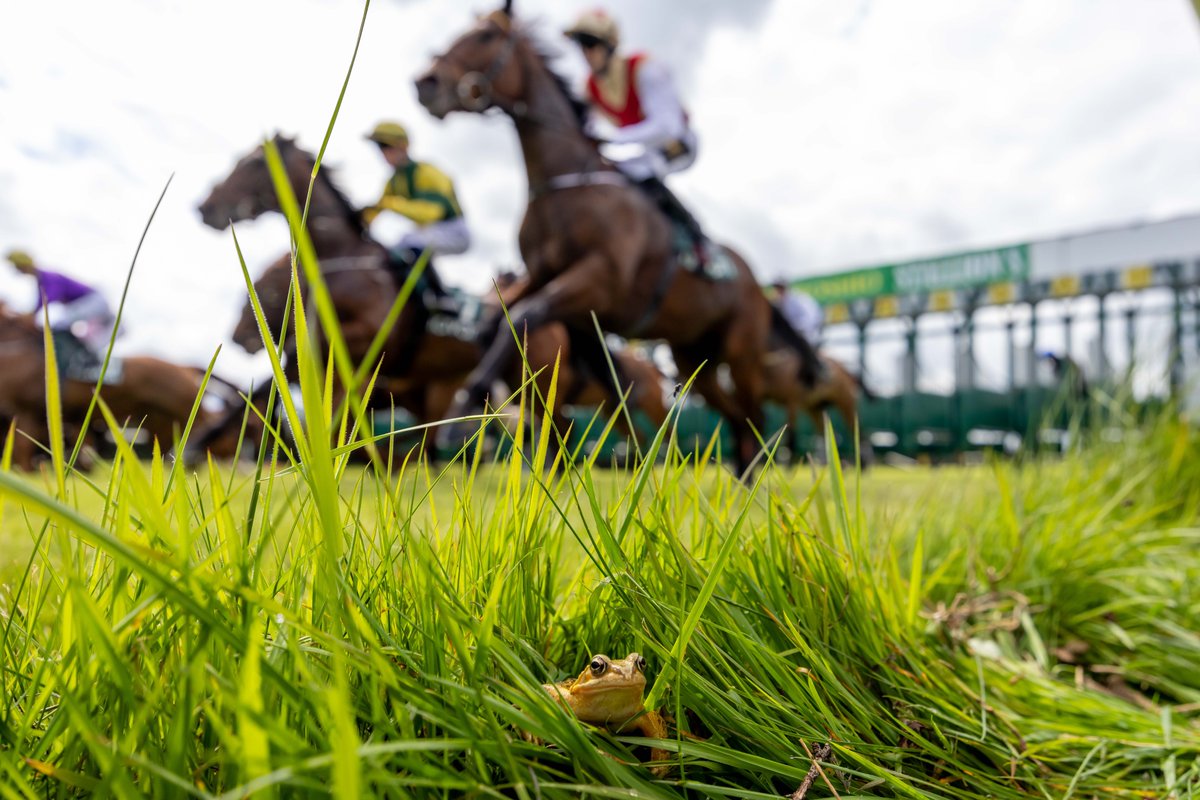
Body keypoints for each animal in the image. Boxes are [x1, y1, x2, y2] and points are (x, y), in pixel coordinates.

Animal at [412, 4, 816, 474]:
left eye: (485, 36)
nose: (425, 83)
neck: (566, 185)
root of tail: (753, 280)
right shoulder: (543, 271)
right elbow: (497, 319)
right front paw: (474, 402)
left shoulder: (600, 280)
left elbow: (530, 310)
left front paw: (461, 411)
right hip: (694, 357)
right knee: (735, 419)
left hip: (742, 350)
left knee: (753, 417)